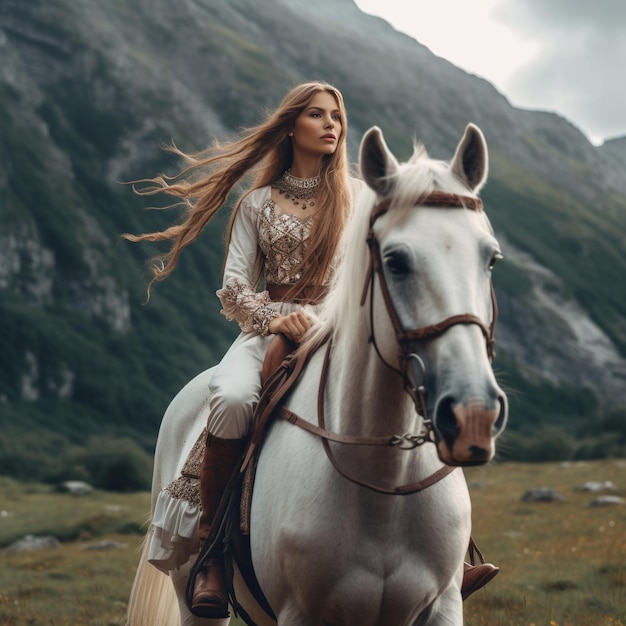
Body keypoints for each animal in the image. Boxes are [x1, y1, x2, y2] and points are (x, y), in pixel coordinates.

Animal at [127, 123, 508, 624]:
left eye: (491, 258)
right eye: (395, 261)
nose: (472, 415)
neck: (383, 484)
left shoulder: (443, 606)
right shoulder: (301, 614)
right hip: (194, 597)